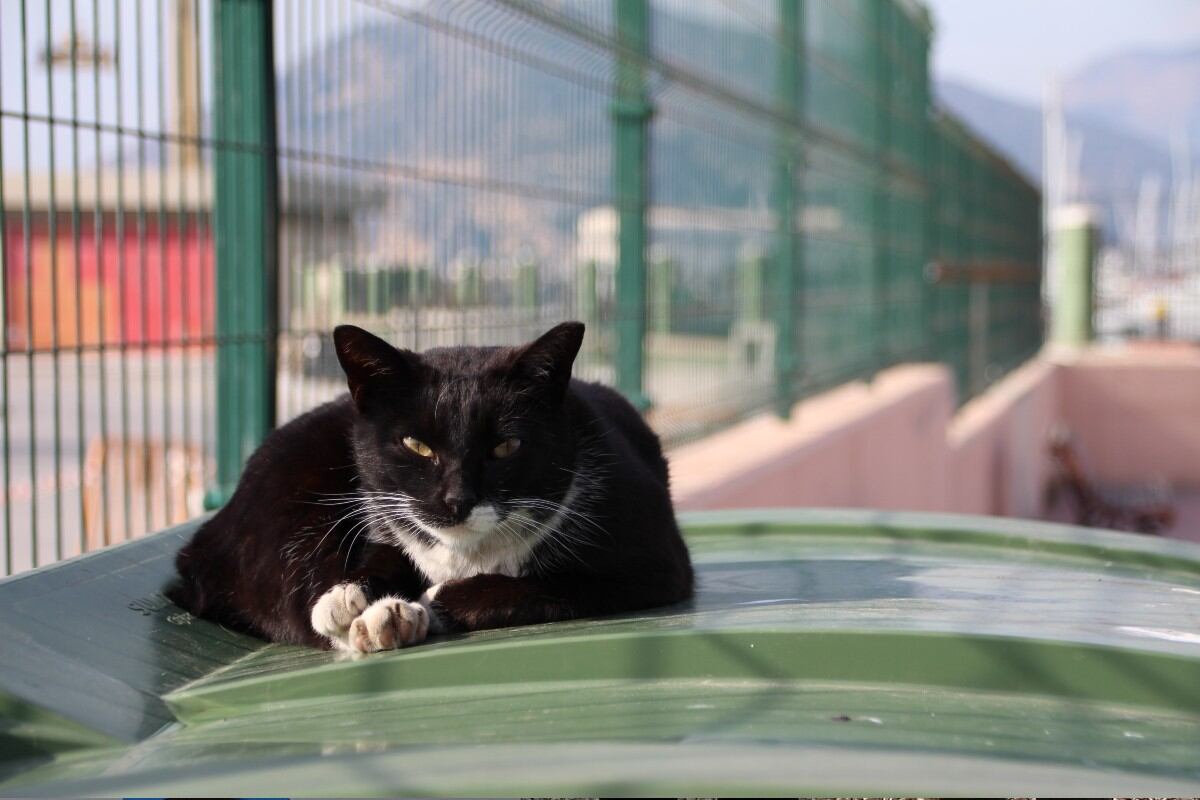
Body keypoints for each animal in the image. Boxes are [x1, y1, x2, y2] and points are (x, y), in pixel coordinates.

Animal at [169, 321, 696, 652]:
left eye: (505, 446)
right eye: (416, 445)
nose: (456, 500)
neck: (467, 553)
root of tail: (198, 546)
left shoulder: (653, 565)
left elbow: (541, 585)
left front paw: (422, 603)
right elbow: (381, 558)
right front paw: (351, 597)